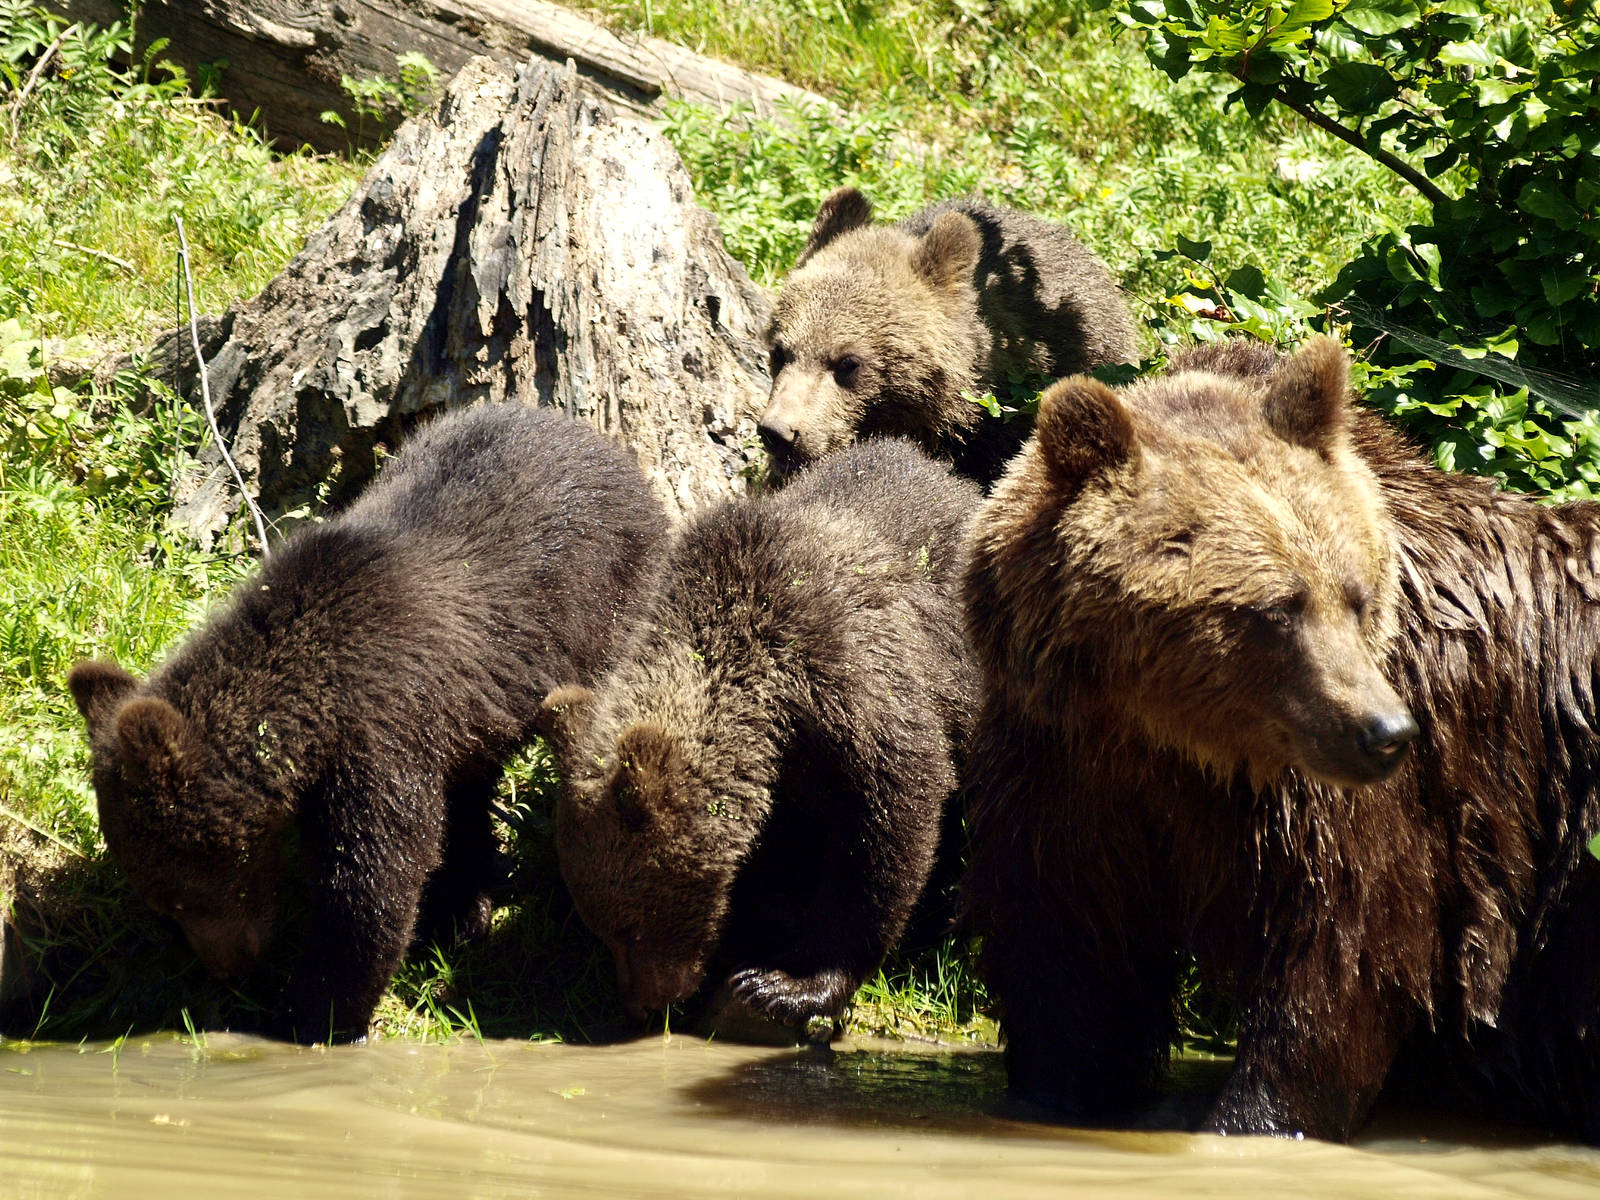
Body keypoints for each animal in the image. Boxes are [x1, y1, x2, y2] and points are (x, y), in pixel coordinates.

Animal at [68, 404, 669, 1043]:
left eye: (176, 896)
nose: (228, 967)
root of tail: (606, 448)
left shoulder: (383, 724)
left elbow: (372, 878)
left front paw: (314, 1014)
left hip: (614, 604)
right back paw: (465, 901)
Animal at [541, 439, 980, 1038]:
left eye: (631, 925)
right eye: (600, 926)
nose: (641, 1006)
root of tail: (958, 482)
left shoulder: (857, 689)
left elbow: (886, 837)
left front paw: (785, 985)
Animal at [961, 334, 1600, 1142]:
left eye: (1354, 594)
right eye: (1275, 609)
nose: (1386, 733)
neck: (1175, 740)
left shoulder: (1351, 807)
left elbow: (1341, 964)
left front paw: (1251, 1120)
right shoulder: (1066, 769)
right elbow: (1071, 958)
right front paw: (1057, 1093)